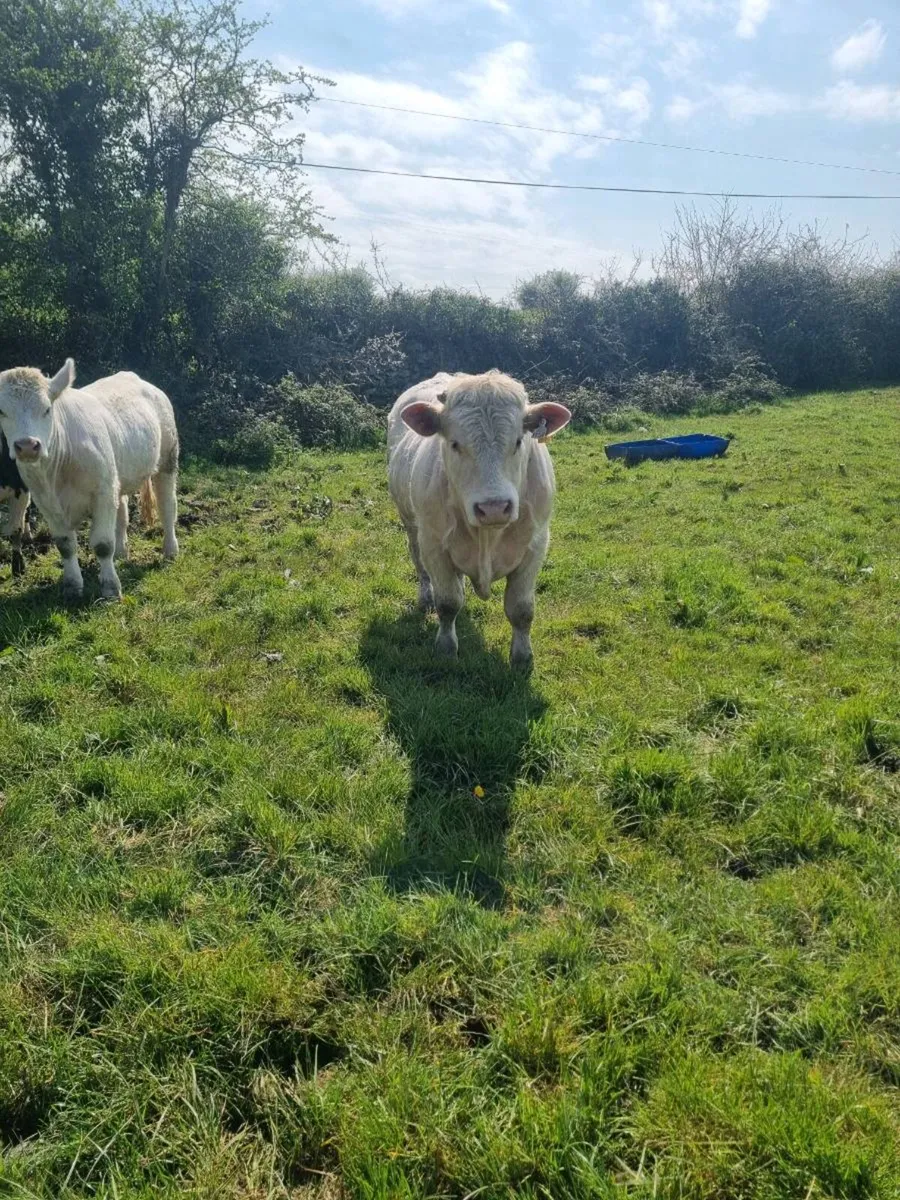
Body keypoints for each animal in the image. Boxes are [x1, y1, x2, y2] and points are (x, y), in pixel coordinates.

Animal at [0, 359, 179, 601]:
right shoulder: (45, 501)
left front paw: (111, 588)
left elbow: (103, 544)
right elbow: (65, 545)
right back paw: (121, 552)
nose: (27, 446)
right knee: (122, 513)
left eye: (47, 409)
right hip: (116, 476)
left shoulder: (102, 493)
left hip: (168, 458)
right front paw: (72, 587)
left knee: (167, 506)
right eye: (1, 412)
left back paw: (170, 550)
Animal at [388, 370, 571, 668]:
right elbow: (448, 602)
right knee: (420, 565)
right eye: (454, 444)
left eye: (518, 441)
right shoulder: (433, 545)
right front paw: (446, 648)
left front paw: (522, 658)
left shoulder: (535, 545)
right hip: (411, 524)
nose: (494, 508)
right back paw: (425, 596)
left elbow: (521, 609)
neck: (488, 537)